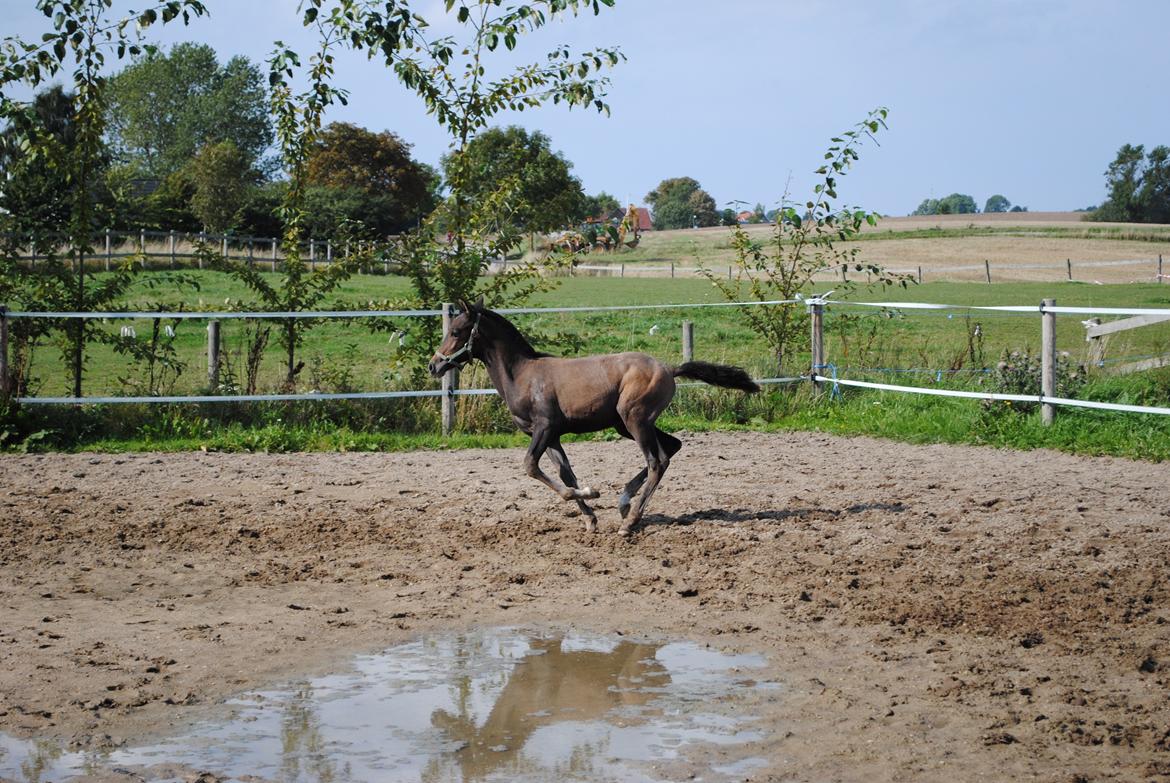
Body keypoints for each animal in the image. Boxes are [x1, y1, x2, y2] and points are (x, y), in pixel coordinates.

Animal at [430, 296, 758, 533]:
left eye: (456, 331)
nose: (434, 365)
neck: (522, 375)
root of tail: (669, 368)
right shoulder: (552, 436)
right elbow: (566, 475)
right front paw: (590, 518)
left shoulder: (544, 427)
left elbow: (531, 467)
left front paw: (593, 493)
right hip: (628, 424)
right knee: (672, 447)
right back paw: (624, 503)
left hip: (635, 420)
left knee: (657, 461)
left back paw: (630, 521)